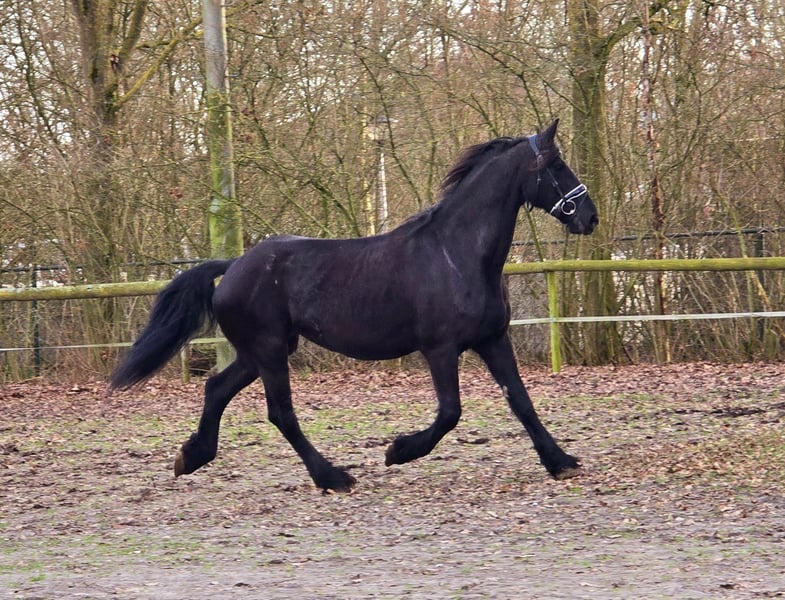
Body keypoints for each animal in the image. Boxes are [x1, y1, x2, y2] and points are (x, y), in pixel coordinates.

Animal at [110, 119, 598, 492]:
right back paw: (333, 477)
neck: (456, 254)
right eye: (556, 165)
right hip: (269, 351)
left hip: (261, 352)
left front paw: (561, 461)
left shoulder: (493, 339)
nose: (589, 217)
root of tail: (232, 267)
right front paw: (398, 451)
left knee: (216, 389)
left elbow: (521, 401)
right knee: (280, 413)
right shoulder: (440, 349)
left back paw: (191, 456)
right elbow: (450, 413)